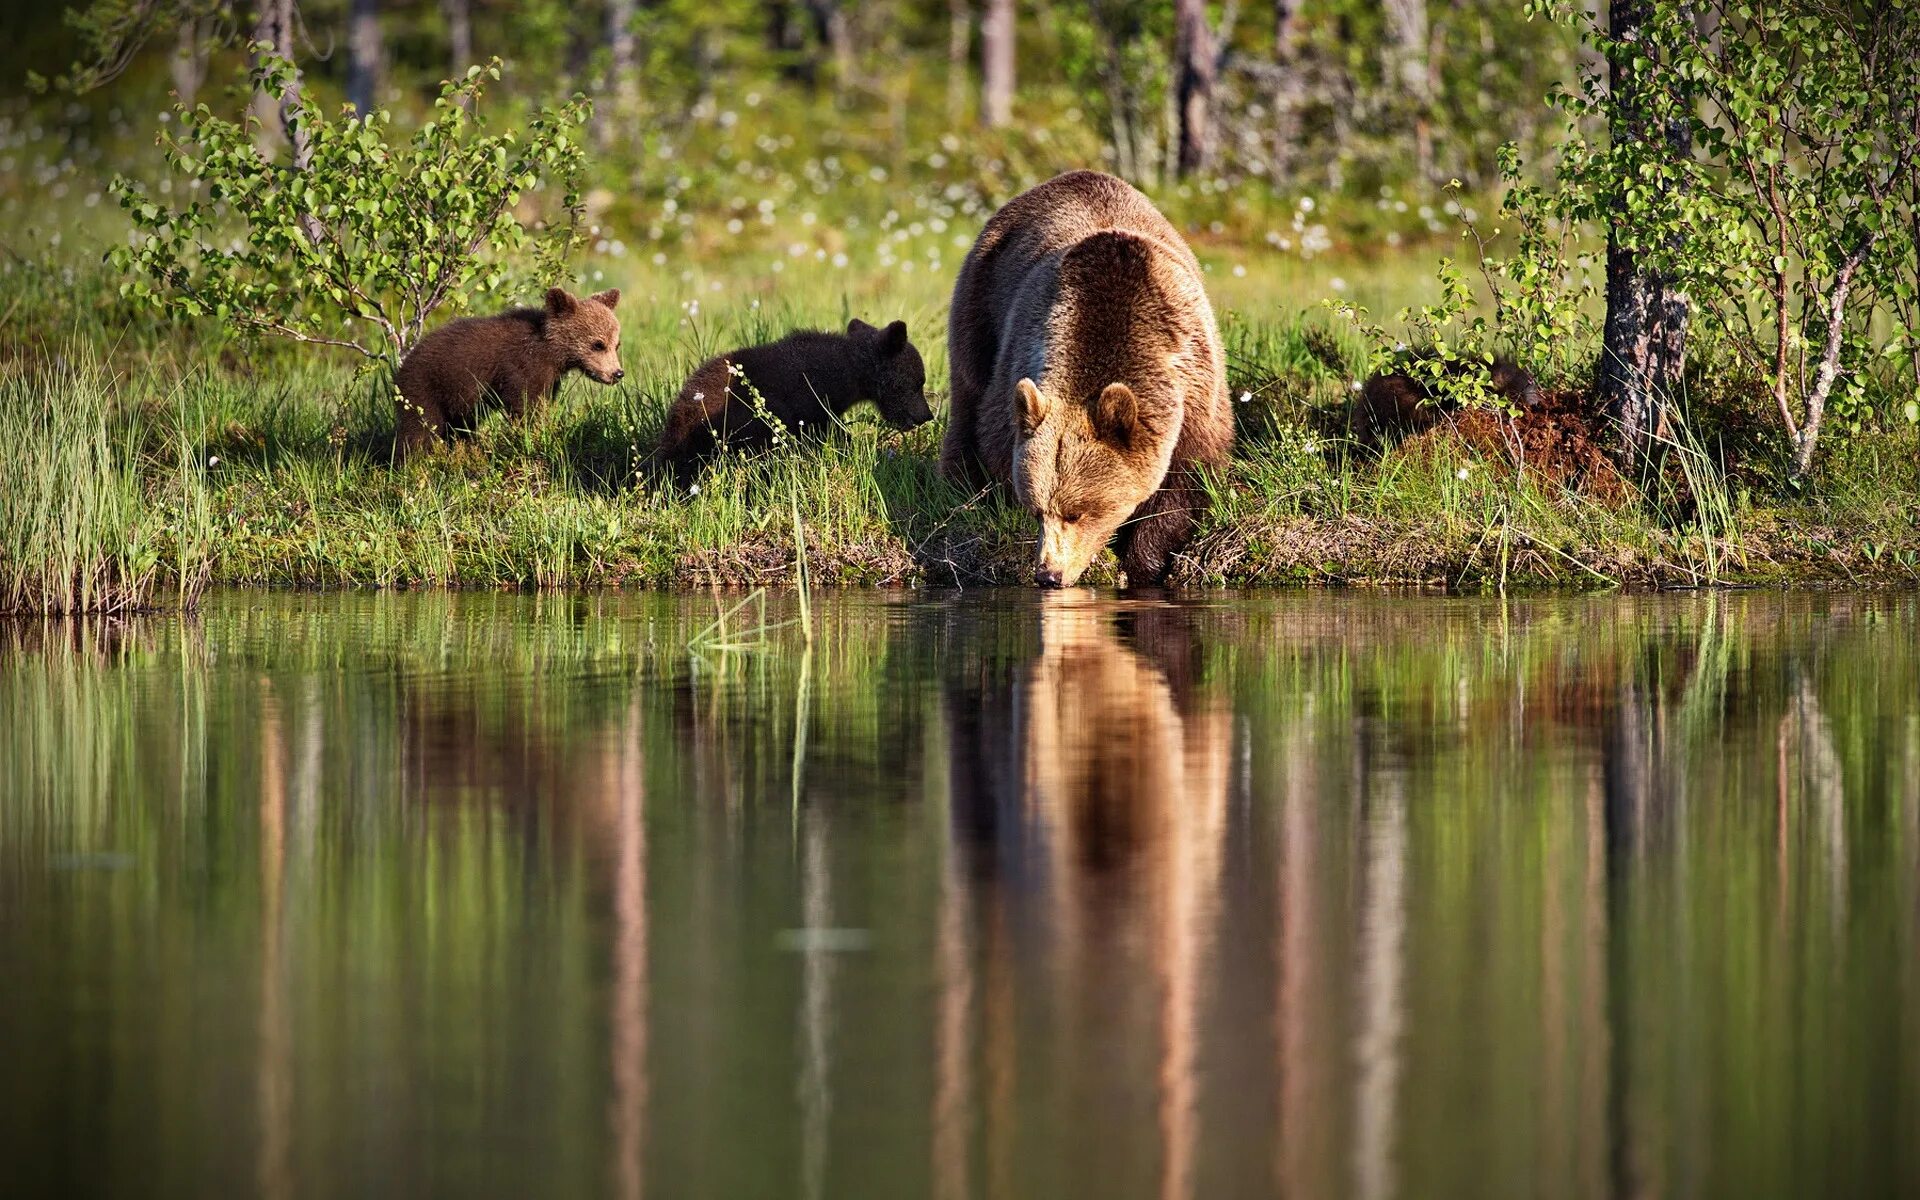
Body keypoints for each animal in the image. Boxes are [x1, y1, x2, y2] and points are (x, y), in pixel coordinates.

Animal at [940, 169, 1228, 583]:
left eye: (1078, 512)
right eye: (1037, 509)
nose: (1049, 574)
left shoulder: (1194, 390)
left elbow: (1183, 487)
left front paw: (1143, 562)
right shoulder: (1020, 355)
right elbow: (996, 444)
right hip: (982, 297)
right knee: (967, 397)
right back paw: (958, 484)